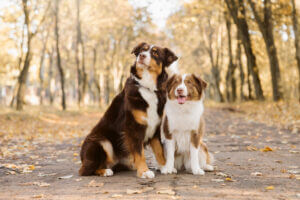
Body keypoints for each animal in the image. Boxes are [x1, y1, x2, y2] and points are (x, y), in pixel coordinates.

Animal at [79, 42, 178, 178]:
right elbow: (140, 153)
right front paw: (144, 171)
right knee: (85, 170)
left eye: (155, 53)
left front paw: (165, 167)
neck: (148, 87)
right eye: (142, 50)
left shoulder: (156, 128)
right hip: (102, 142)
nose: (141, 56)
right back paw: (104, 171)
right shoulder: (133, 127)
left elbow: (159, 150)